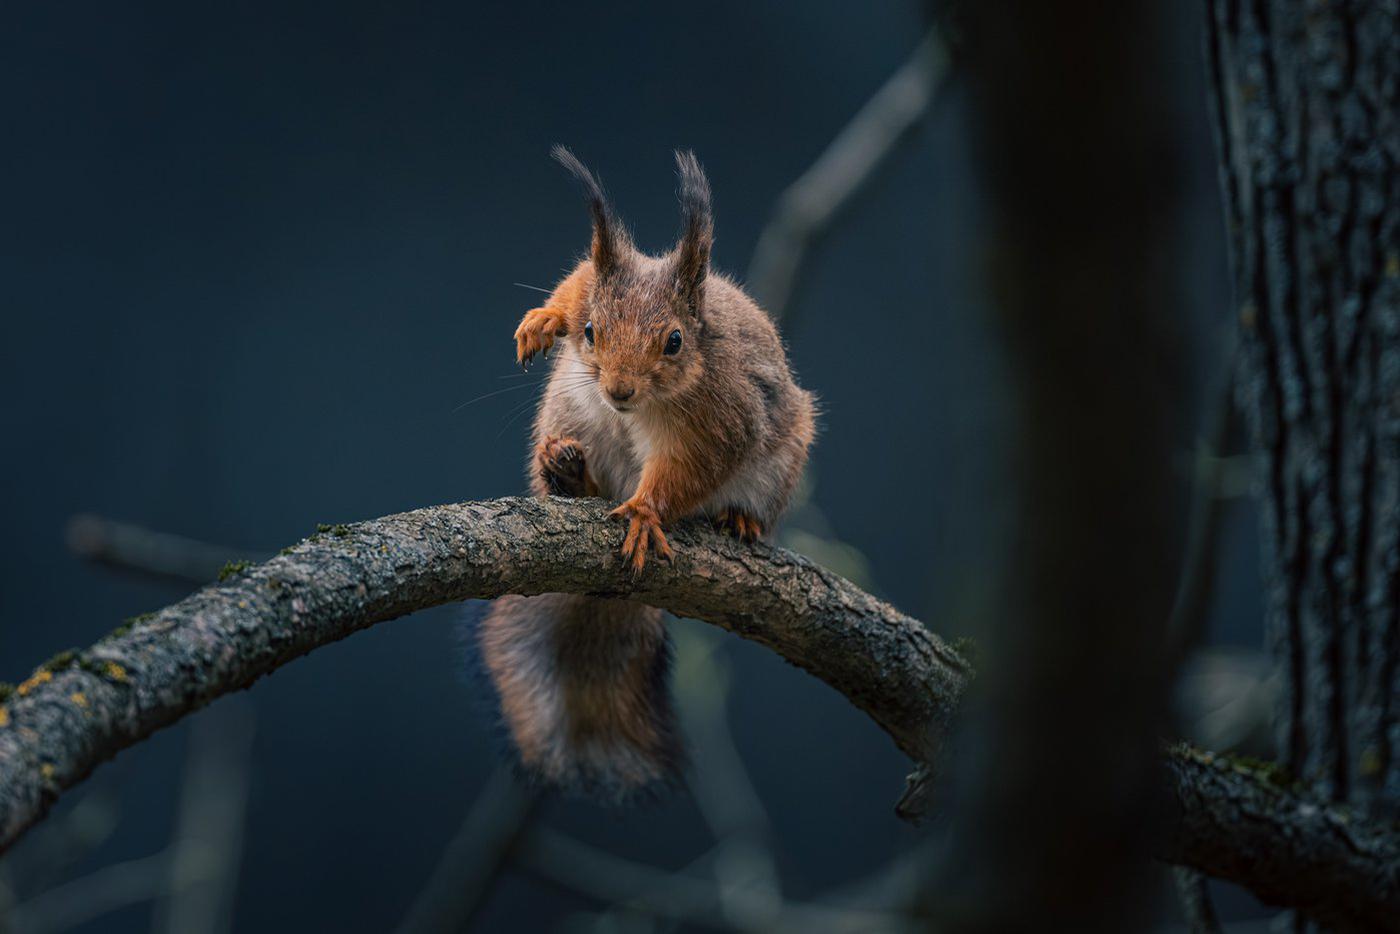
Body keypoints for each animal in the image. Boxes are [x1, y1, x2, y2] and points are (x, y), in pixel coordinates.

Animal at [476, 147, 816, 798]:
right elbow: (580, 278)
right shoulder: (603, 279)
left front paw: (642, 511)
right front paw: (543, 319)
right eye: (590, 332)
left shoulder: (720, 421)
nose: (618, 391)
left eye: (675, 342)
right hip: (569, 406)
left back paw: (738, 519)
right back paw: (565, 473)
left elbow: (687, 472)